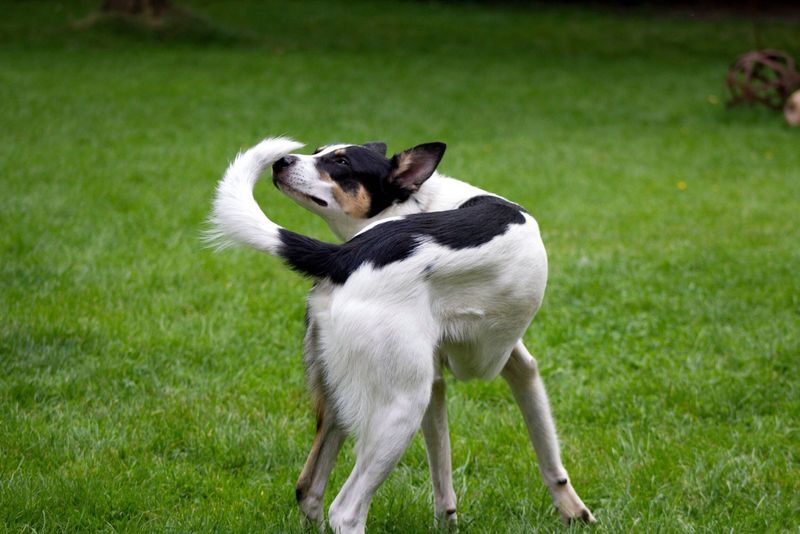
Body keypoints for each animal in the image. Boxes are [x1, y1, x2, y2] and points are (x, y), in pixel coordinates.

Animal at [206, 139, 592, 534]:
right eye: (318, 153)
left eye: (341, 161)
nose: (282, 162)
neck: (421, 202)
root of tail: (344, 256)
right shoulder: (510, 365)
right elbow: (547, 453)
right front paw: (574, 511)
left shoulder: (441, 382)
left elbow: (444, 471)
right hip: (400, 409)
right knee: (345, 510)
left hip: (348, 399)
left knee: (308, 488)